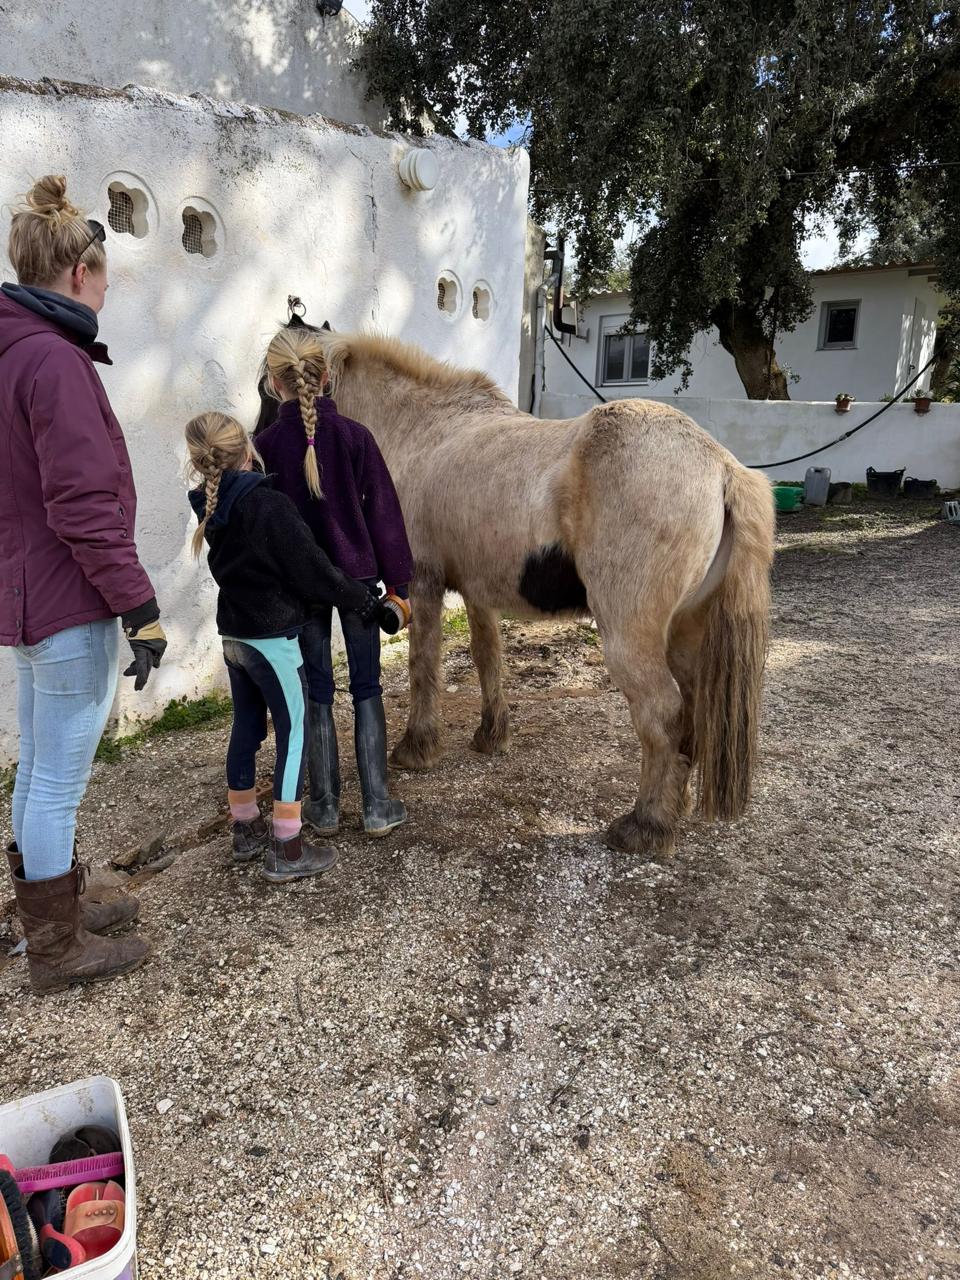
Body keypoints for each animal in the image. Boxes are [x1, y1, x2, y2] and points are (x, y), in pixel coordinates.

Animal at [308, 330, 774, 858]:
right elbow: (487, 658)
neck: (427, 433)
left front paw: (417, 748)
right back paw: (678, 808)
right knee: (691, 712)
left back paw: (646, 826)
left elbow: (423, 665)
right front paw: (491, 736)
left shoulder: (424, 582)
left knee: (663, 715)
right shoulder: (478, 591)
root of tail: (723, 467)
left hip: (630, 637)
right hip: (684, 631)